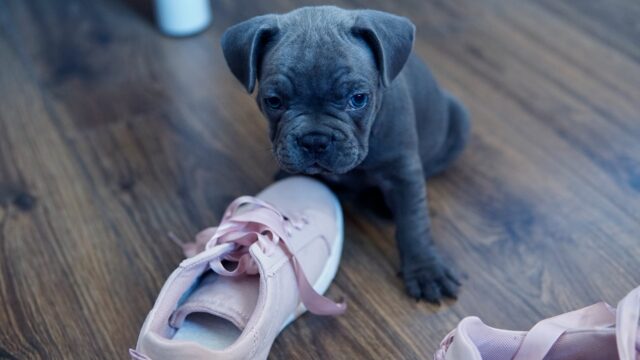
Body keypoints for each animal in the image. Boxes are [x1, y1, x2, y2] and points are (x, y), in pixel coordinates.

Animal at [221, 7, 470, 302]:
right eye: (274, 101)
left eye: (358, 98)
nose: (314, 140)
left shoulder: (403, 172)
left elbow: (413, 222)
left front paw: (425, 270)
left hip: (459, 122)